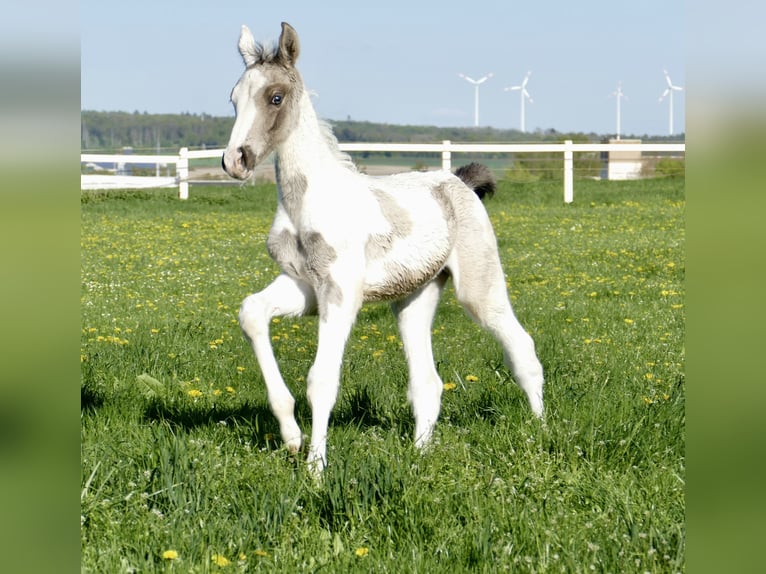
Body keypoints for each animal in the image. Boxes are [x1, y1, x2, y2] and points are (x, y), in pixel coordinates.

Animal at [222, 22, 544, 474]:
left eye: (275, 97)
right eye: (233, 98)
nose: (235, 161)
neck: (308, 202)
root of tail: (459, 181)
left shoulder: (341, 292)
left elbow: (322, 380)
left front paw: (315, 469)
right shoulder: (305, 286)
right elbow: (252, 313)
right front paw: (292, 437)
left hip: (479, 288)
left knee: (521, 347)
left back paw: (540, 432)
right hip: (414, 300)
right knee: (428, 382)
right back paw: (419, 456)